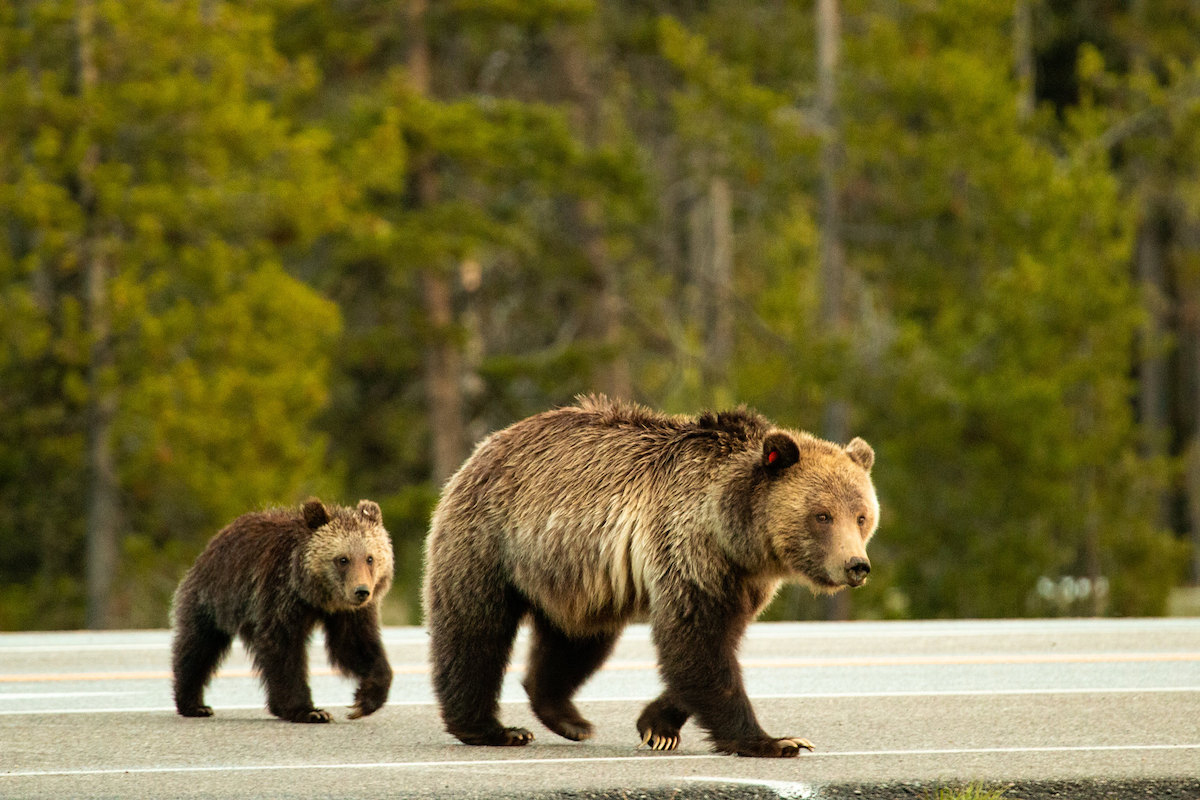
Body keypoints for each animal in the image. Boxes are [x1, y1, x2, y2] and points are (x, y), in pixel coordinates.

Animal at [172, 496, 393, 724]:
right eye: (343, 559)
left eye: (370, 558)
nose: (362, 591)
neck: (314, 594)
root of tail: (213, 542)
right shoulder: (279, 593)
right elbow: (283, 646)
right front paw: (308, 711)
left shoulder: (349, 612)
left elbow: (353, 644)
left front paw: (363, 701)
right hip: (214, 597)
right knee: (199, 645)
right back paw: (194, 704)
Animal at [427, 398, 878, 762]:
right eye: (822, 515)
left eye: (861, 515)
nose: (856, 564)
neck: (735, 531)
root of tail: (487, 444)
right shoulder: (692, 552)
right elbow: (696, 642)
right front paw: (775, 741)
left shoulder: (742, 579)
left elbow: (714, 646)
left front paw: (657, 725)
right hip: (490, 539)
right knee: (475, 628)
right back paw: (491, 728)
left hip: (576, 575)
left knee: (577, 640)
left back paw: (567, 718)